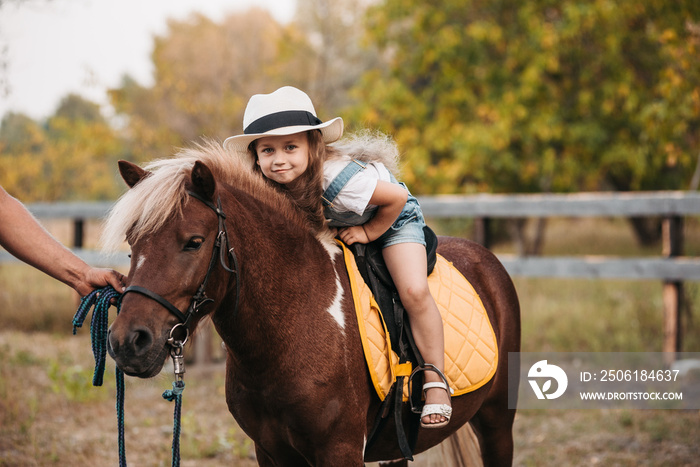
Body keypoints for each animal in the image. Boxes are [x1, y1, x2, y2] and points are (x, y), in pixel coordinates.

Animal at [104, 143, 520, 467]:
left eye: (194, 241)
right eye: (132, 243)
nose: (128, 342)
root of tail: (486, 258)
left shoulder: (340, 450)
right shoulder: (270, 452)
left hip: (497, 422)